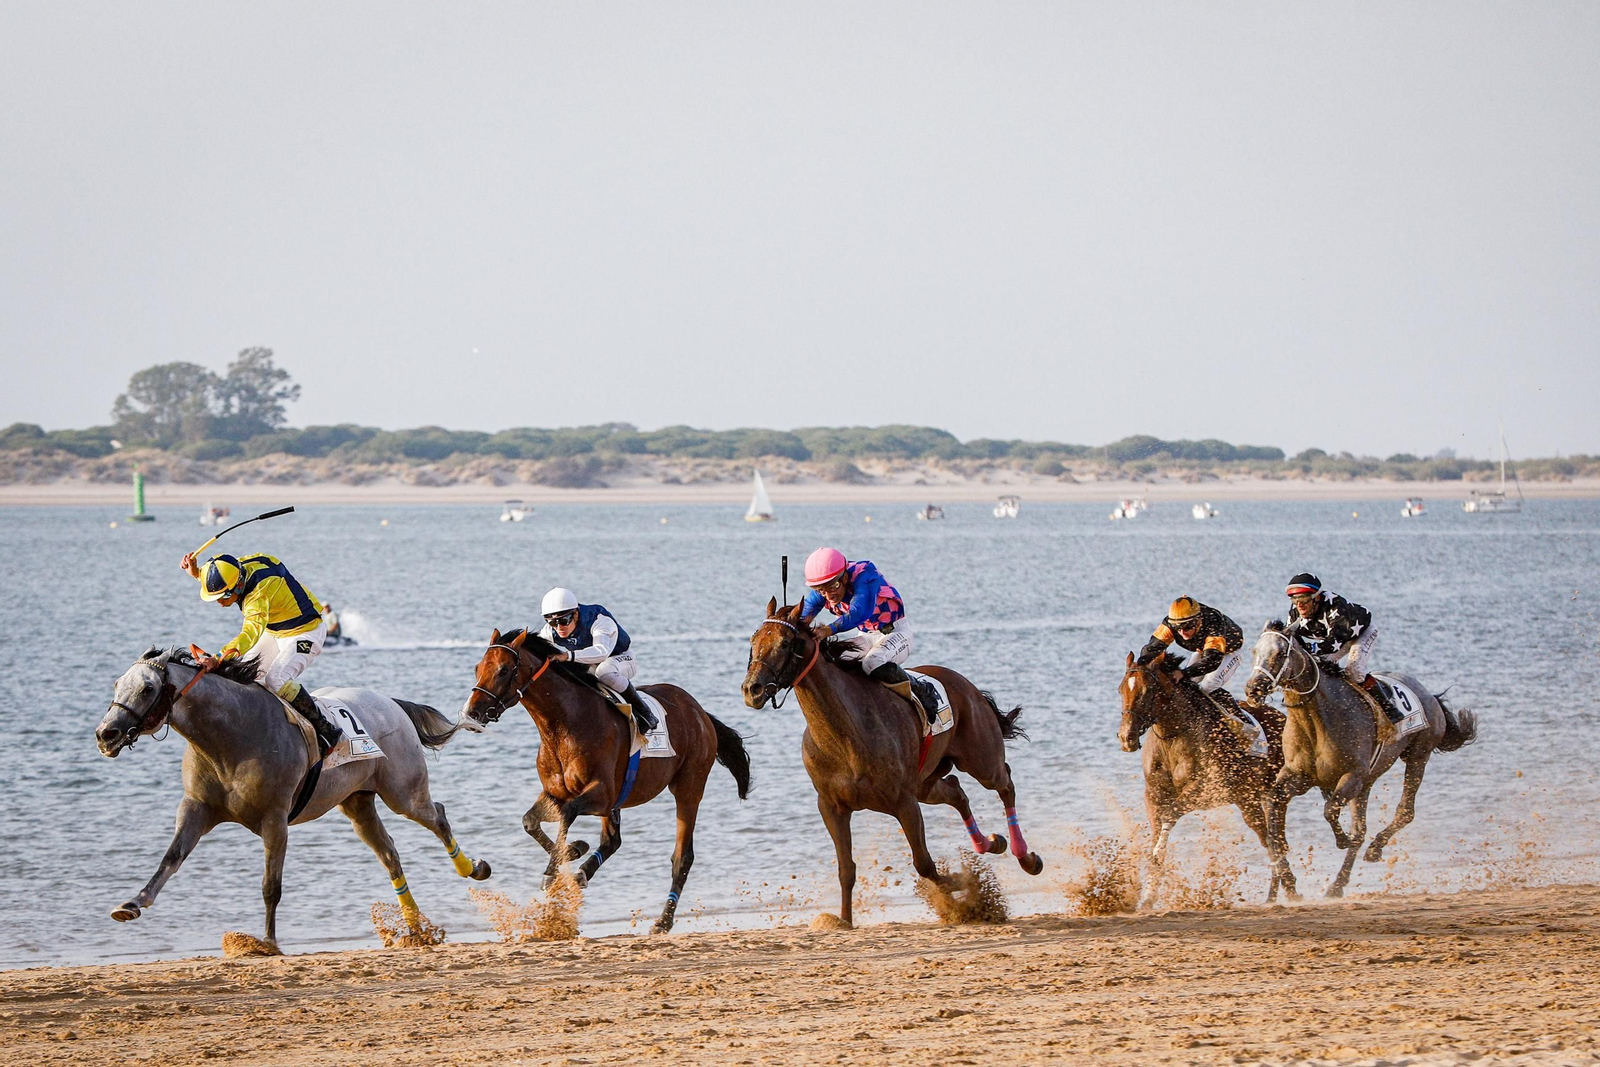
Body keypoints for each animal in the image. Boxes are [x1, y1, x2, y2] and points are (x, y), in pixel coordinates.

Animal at [95, 647, 489, 952]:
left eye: (147, 688)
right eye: (117, 684)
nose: (105, 734)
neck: (229, 735)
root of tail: (390, 702)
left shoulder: (275, 819)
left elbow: (271, 886)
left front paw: (267, 942)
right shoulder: (197, 808)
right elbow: (171, 857)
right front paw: (133, 903)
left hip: (403, 793)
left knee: (437, 815)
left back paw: (472, 868)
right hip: (358, 803)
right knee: (390, 854)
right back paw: (415, 929)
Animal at [462, 628, 751, 934]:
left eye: (504, 670)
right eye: (477, 668)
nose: (472, 713)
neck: (564, 725)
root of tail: (699, 712)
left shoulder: (601, 794)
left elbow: (567, 813)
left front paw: (556, 868)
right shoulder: (556, 792)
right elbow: (530, 820)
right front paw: (573, 852)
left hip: (688, 787)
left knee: (682, 857)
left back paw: (663, 921)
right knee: (613, 841)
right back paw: (582, 874)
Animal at [741, 599, 1042, 930]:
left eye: (785, 643)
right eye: (753, 641)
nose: (752, 689)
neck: (844, 737)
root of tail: (969, 687)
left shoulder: (903, 802)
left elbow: (924, 864)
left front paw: (961, 884)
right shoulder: (832, 807)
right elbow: (846, 869)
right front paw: (845, 920)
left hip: (981, 761)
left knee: (1005, 784)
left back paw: (1026, 857)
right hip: (926, 783)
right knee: (956, 791)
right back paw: (990, 843)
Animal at [1118, 651, 1291, 905]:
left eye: (1148, 691)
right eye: (1121, 689)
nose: (1126, 737)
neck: (1174, 736)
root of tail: (1284, 718)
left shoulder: (1206, 789)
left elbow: (1169, 816)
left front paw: (1153, 874)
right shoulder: (1153, 794)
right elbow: (1156, 830)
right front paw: (1149, 892)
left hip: (1271, 792)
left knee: (1274, 840)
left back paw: (1290, 889)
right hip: (1247, 800)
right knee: (1269, 838)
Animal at [1244, 621, 1478, 898]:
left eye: (1280, 654)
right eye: (1254, 651)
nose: (1253, 689)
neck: (1318, 720)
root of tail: (1429, 695)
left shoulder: (1352, 776)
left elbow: (1330, 810)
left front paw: (1340, 840)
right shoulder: (1297, 778)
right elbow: (1274, 808)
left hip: (1417, 756)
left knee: (1404, 812)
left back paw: (1373, 851)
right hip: (1368, 781)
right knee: (1361, 830)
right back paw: (1337, 884)